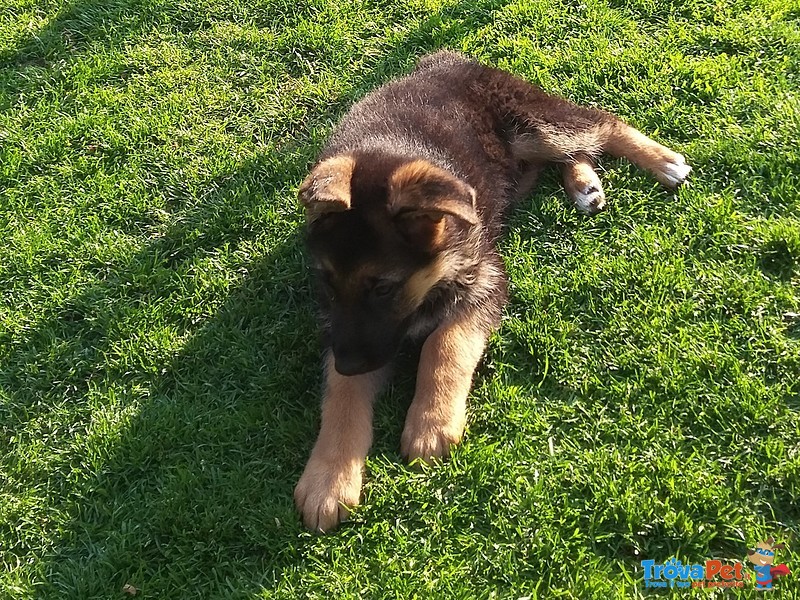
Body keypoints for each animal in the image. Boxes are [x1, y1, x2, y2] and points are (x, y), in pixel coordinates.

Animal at [294, 50, 688, 528]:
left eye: (384, 289)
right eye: (327, 282)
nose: (350, 362)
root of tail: (444, 59)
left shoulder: (486, 280)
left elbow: (445, 343)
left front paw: (431, 422)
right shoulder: (345, 330)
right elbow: (342, 394)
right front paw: (328, 479)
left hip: (535, 124)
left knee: (600, 124)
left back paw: (661, 161)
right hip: (520, 161)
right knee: (566, 154)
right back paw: (584, 183)